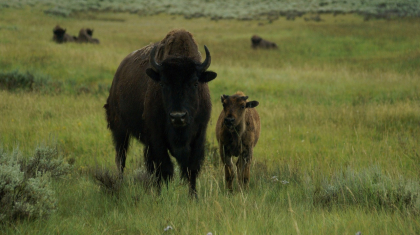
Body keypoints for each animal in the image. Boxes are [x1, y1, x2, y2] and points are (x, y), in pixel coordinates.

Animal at [104, 29, 217, 198]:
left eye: (195, 83)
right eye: (163, 83)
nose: (178, 116)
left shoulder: (199, 135)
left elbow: (192, 168)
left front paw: (193, 197)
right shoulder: (157, 137)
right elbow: (165, 168)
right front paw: (161, 195)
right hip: (120, 130)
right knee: (121, 159)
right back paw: (121, 183)